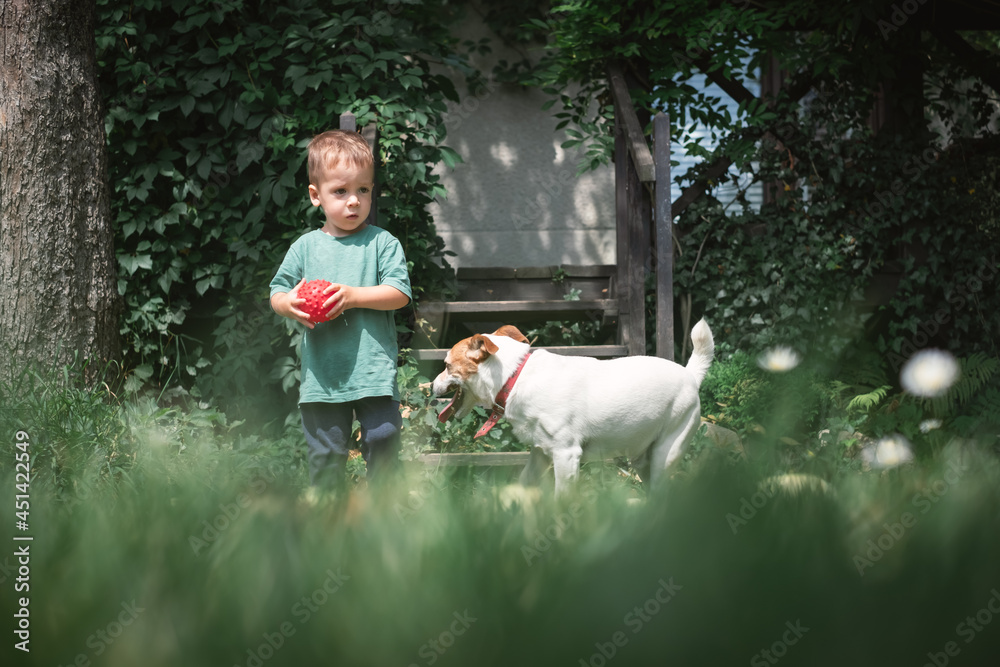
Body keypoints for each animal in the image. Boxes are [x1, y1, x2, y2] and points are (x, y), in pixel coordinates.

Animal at [430, 318, 712, 496]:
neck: (516, 376)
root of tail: (690, 375)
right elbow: (524, 483)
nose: (431, 385)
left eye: (446, 365)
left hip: (667, 452)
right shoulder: (541, 454)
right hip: (643, 459)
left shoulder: (566, 455)